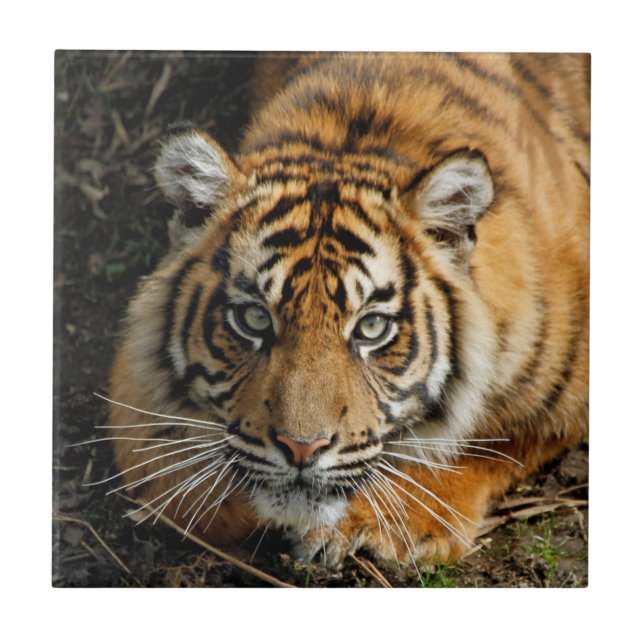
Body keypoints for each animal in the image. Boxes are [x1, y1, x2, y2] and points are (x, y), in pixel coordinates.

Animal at [108, 52, 589, 570]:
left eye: (371, 327)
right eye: (255, 318)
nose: (302, 448)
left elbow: (485, 445)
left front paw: (378, 523)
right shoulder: (135, 401)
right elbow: (184, 486)